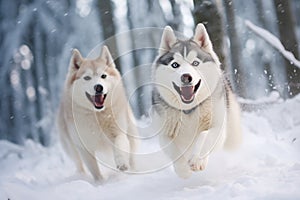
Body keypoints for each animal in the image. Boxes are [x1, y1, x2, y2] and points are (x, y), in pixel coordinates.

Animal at [56, 46, 138, 180]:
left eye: (103, 76)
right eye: (87, 78)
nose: (98, 87)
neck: (98, 116)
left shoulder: (118, 133)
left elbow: (119, 146)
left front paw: (122, 164)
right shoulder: (84, 146)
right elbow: (94, 169)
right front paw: (100, 182)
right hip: (71, 148)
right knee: (79, 163)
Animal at [154, 24, 243, 179]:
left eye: (195, 63)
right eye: (175, 65)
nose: (186, 77)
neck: (189, 109)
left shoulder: (218, 128)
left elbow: (204, 136)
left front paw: (197, 160)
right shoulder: (164, 134)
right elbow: (173, 150)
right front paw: (183, 169)